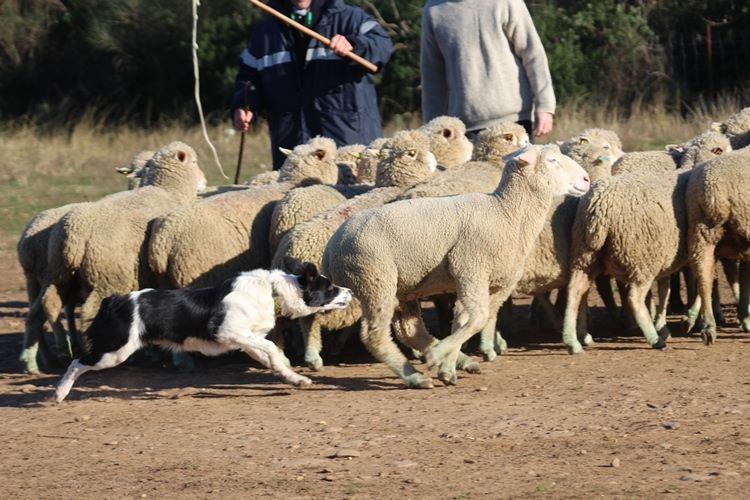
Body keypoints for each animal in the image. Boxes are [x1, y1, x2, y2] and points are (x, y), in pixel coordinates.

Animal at [320, 145, 592, 386]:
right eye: (552, 161)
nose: (587, 179)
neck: (506, 213)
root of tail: (331, 247)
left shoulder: (491, 282)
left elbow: (466, 320)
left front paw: (447, 368)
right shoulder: (469, 267)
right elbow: (478, 317)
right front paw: (439, 358)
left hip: (400, 288)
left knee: (410, 331)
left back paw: (452, 362)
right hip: (374, 280)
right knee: (375, 335)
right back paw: (415, 376)